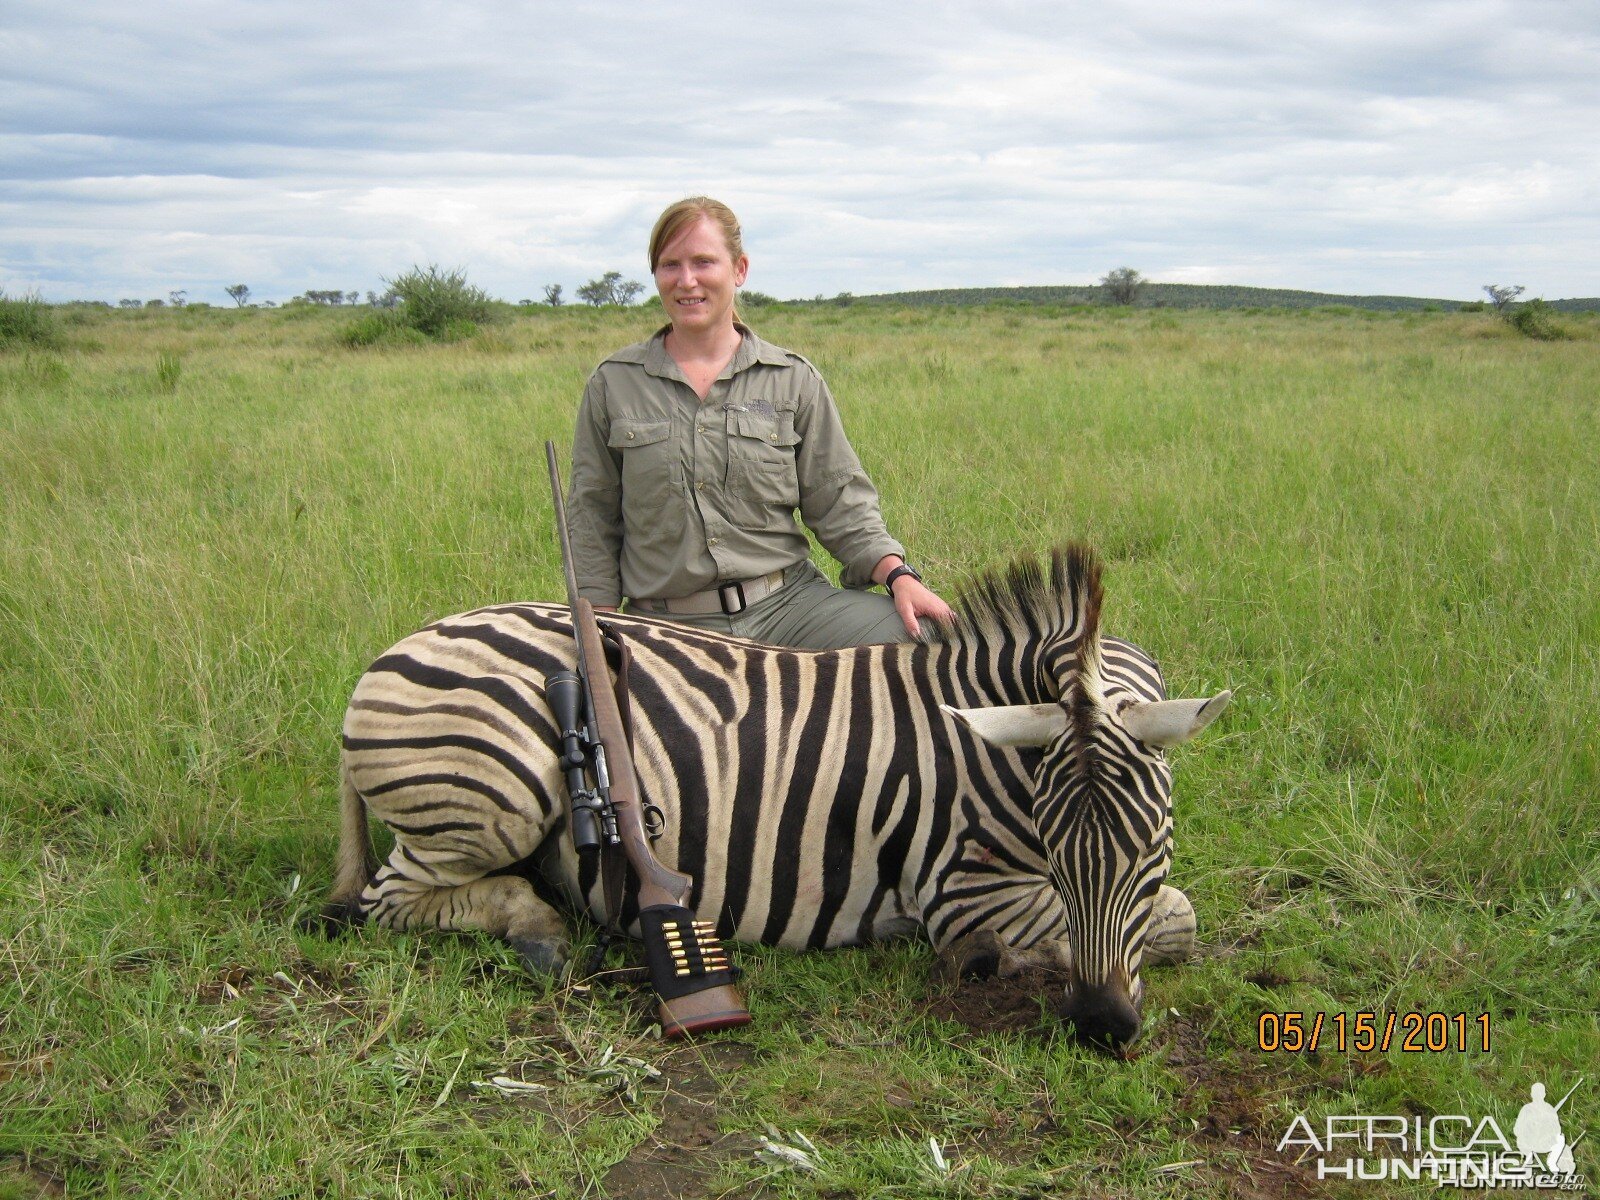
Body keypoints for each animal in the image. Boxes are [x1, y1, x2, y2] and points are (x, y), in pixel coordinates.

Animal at [321, 550, 1222, 1049]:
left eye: (1152, 843)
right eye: (1055, 843)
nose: (1101, 1028)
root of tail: (388, 654)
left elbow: (1169, 914)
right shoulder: (963, 892)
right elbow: (1175, 921)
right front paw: (990, 962)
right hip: (489, 791)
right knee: (390, 900)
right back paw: (537, 929)